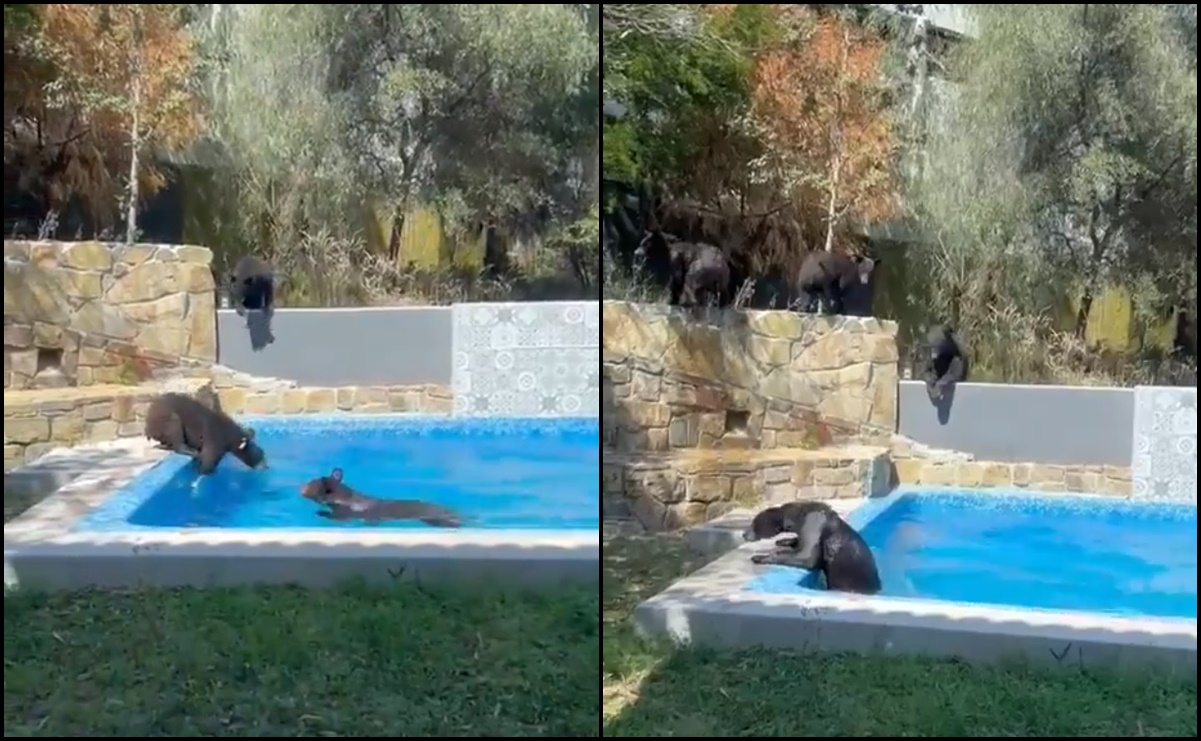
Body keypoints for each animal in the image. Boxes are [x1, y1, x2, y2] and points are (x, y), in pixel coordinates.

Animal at [739, 497, 883, 595]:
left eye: (753, 523)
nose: (743, 534)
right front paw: (783, 541)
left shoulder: (813, 523)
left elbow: (806, 556)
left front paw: (759, 557)